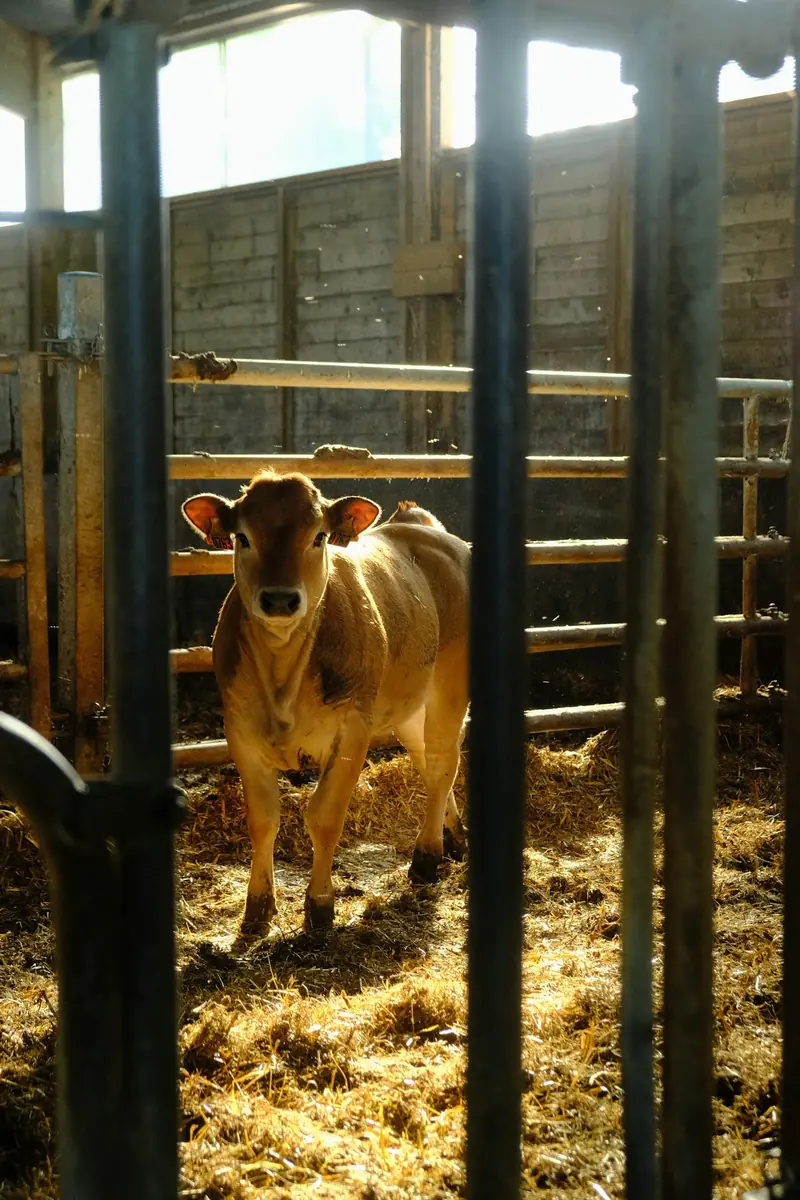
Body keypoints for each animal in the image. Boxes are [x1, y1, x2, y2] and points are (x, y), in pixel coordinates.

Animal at [181, 471, 469, 933]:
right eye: (242, 537)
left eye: (318, 537)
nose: (280, 599)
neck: (283, 677)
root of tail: (424, 527)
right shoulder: (239, 732)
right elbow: (263, 821)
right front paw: (257, 908)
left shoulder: (353, 731)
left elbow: (324, 816)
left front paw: (320, 905)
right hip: (409, 704)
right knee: (428, 762)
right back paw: (453, 837)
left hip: (450, 684)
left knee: (443, 763)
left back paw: (426, 857)